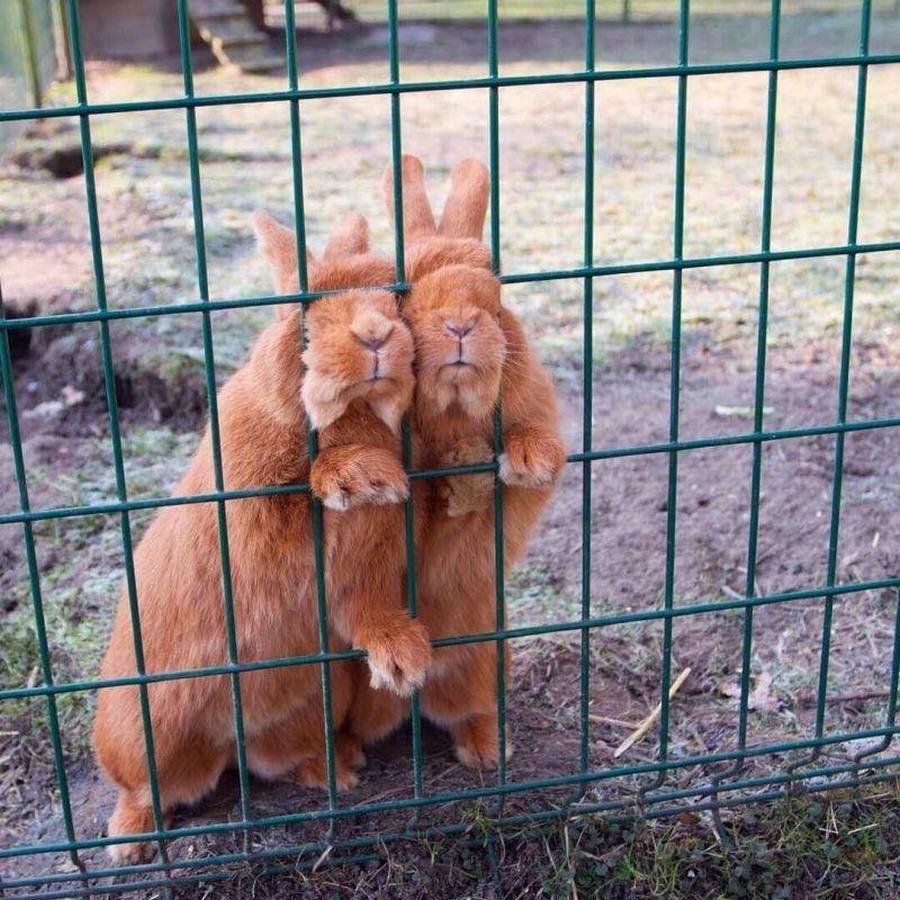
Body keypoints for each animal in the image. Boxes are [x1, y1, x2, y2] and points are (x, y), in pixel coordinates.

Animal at [93, 211, 430, 864]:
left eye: (395, 299)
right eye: (304, 316)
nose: (376, 335)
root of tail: (227, 740)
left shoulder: (368, 568)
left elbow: (369, 611)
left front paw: (405, 661)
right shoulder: (254, 515)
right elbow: (305, 494)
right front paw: (362, 474)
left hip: (312, 702)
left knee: (285, 759)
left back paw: (338, 767)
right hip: (138, 730)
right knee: (144, 787)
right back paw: (127, 843)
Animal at [342, 156, 568, 768]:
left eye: (495, 293)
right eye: (407, 296)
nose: (461, 324)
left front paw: (527, 461)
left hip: (483, 664)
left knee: (472, 710)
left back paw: (488, 752)